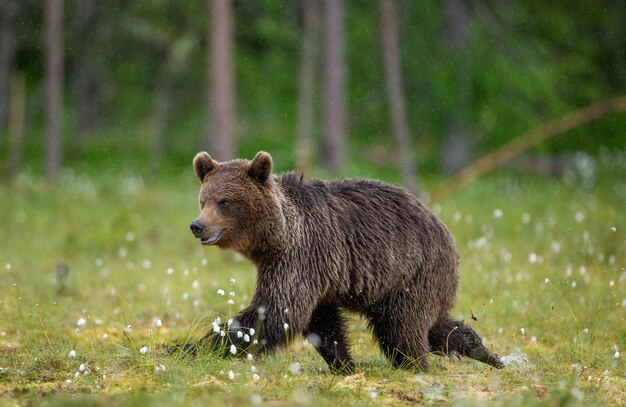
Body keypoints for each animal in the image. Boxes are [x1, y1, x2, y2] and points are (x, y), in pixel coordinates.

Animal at [182, 151, 502, 374]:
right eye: (203, 200)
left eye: (225, 202)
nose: (197, 226)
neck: (275, 238)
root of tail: (444, 228)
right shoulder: (316, 274)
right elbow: (322, 324)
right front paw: (343, 364)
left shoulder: (300, 256)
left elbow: (275, 311)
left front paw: (186, 348)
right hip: (403, 285)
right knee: (432, 323)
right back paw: (487, 354)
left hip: (411, 270)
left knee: (400, 328)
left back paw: (415, 364)